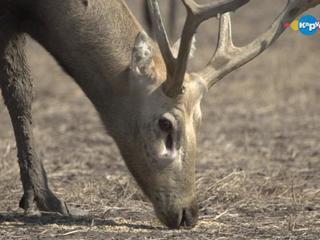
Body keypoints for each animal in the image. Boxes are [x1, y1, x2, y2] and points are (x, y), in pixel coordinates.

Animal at [0, 0, 318, 229]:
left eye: (200, 120)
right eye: (165, 123)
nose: (188, 214)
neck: (39, 9)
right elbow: (20, 91)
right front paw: (44, 199)